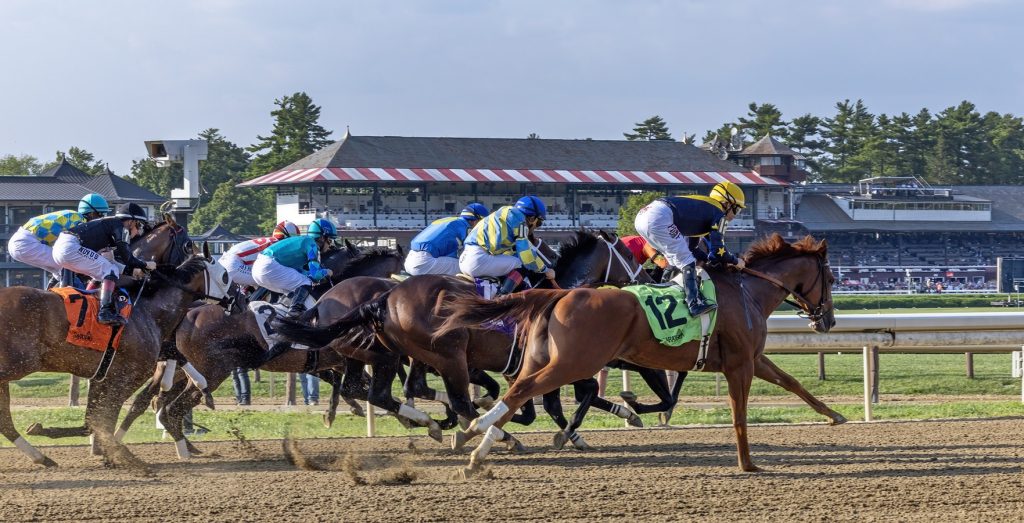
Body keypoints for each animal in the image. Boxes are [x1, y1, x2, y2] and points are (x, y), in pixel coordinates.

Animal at [436, 235, 835, 476]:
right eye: (830, 278)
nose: (828, 320)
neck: (747, 291)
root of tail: (560, 294)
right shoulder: (740, 364)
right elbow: (737, 414)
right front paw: (747, 463)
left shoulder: (752, 358)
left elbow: (792, 382)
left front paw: (834, 415)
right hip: (572, 362)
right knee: (521, 393)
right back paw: (475, 439)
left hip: (541, 360)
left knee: (517, 395)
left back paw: (477, 439)